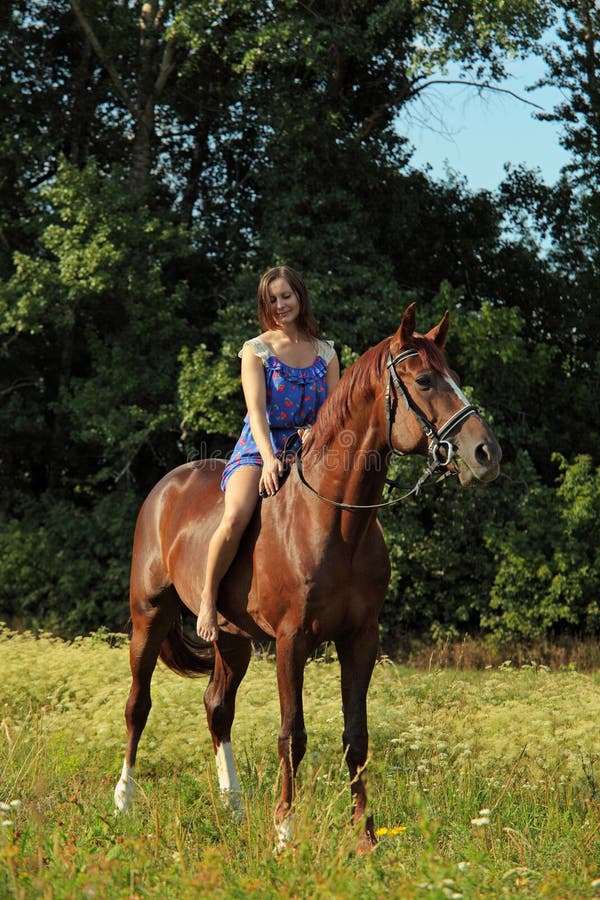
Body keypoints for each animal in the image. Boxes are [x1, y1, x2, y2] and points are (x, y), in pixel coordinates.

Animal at [115, 306, 500, 848]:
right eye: (425, 379)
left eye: (456, 377)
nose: (487, 454)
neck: (336, 521)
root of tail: (164, 488)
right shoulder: (291, 640)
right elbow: (291, 734)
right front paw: (285, 832)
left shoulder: (360, 639)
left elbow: (356, 736)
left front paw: (366, 837)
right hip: (148, 617)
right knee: (138, 705)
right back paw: (123, 801)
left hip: (231, 639)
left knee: (217, 707)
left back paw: (234, 808)